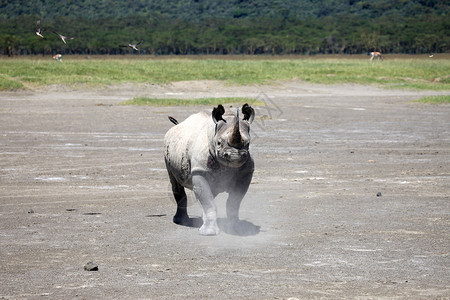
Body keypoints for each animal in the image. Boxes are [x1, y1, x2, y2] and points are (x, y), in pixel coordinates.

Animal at [164, 104, 256, 236]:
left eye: (247, 144)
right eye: (219, 143)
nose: (235, 156)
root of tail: (177, 125)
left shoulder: (246, 173)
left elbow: (234, 201)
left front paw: (236, 229)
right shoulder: (199, 170)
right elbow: (208, 202)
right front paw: (209, 233)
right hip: (168, 152)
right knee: (175, 183)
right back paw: (181, 221)